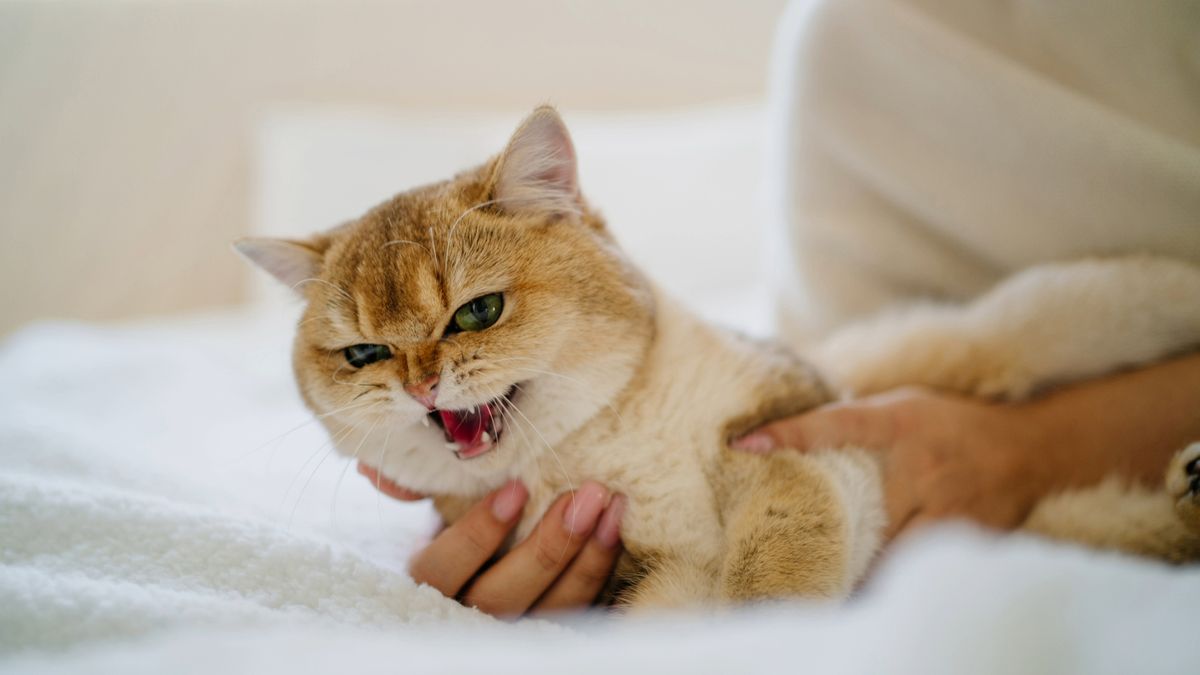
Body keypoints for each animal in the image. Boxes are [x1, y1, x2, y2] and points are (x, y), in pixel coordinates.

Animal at [236, 107, 1200, 607]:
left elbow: (1005, 326)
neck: (612, 438)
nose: (419, 380)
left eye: (478, 311)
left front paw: (1169, 287)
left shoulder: (795, 412)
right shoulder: (656, 579)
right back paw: (1188, 487)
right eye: (364, 352)